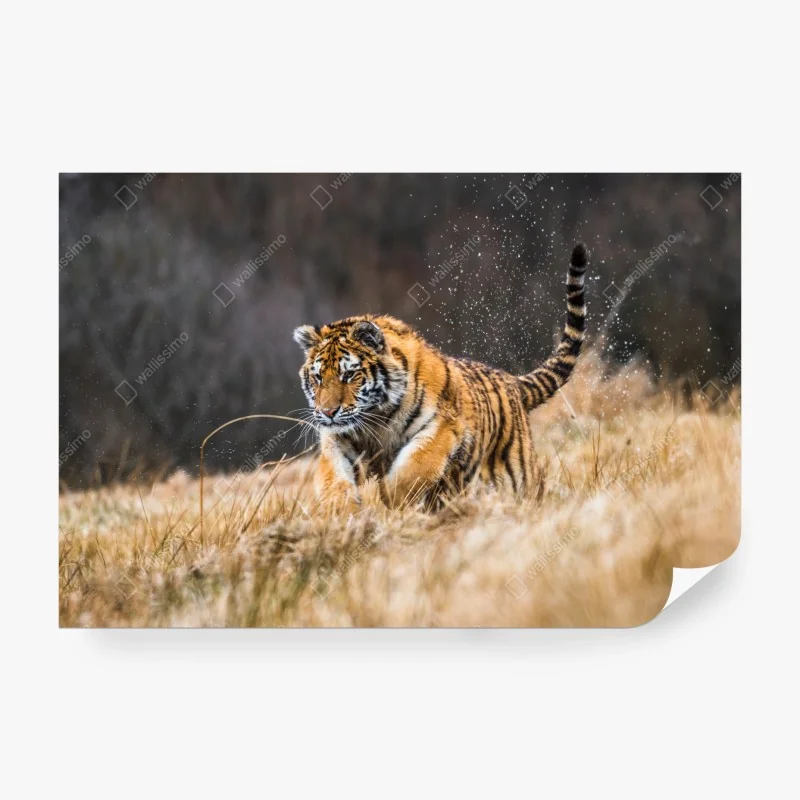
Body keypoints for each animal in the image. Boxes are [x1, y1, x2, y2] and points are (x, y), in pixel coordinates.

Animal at [293, 242, 588, 509]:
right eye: (318, 378)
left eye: (349, 375)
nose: (328, 412)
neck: (376, 421)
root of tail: (512, 381)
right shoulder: (337, 440)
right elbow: (333, 478)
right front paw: (341, 512)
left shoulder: (442, 429)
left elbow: (413, 469)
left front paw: (390, 500)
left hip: (519, 475)